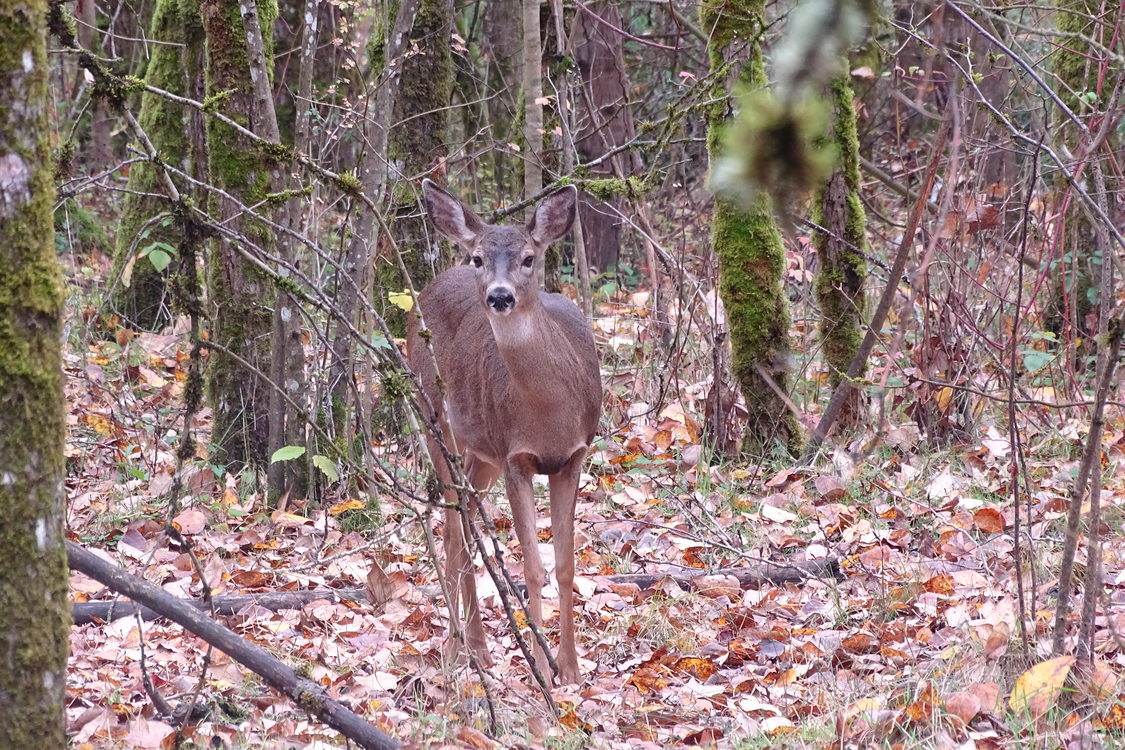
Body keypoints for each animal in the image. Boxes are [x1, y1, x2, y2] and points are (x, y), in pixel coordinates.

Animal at [402, 178, 598, 683]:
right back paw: (460, 649)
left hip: (481, 449)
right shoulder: (516, 457)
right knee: (454, 528)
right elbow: (531, 569)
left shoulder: (573, 456)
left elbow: (565, 565)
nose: (500, 296)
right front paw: (543, 669)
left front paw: (571, 669)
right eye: (479, 258)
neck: (549, 414)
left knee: (464, 526)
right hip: (435, 418)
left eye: (530, 257)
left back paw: (478, 647)